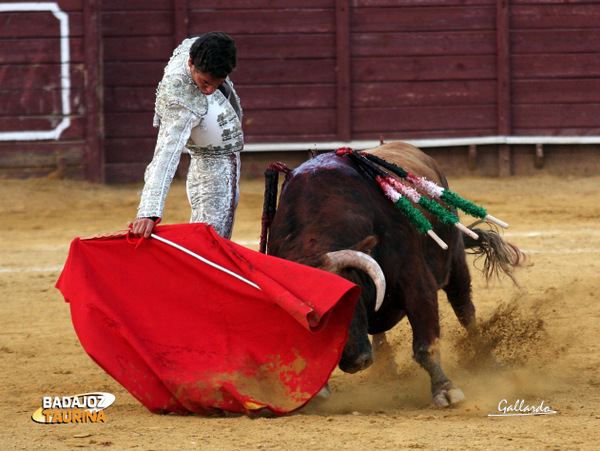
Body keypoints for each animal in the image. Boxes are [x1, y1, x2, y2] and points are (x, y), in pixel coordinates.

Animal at [260, 142, 524, 410]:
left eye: (349, 301)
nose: (356, 362)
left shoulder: (417, 283)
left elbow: (425, 345)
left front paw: (446, 390)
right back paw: (385, 366)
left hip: (456, 263)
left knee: (465, 311)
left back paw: (486, 360)